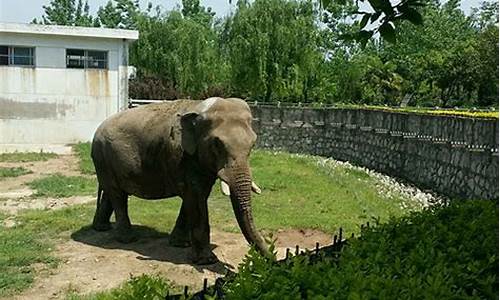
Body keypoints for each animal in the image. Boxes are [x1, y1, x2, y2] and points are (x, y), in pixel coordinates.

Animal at [90, 97, 270, 264]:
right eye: (217, 144)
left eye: (252, 144)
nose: (273, 259)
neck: (198, 107)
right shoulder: (180, 156)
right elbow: (195, 196)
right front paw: (206, 260)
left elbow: (199, 194)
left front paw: (180, 244)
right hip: (102, 157)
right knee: (117, 195)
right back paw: (127, 239)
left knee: (112, 193)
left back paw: (101, 228)